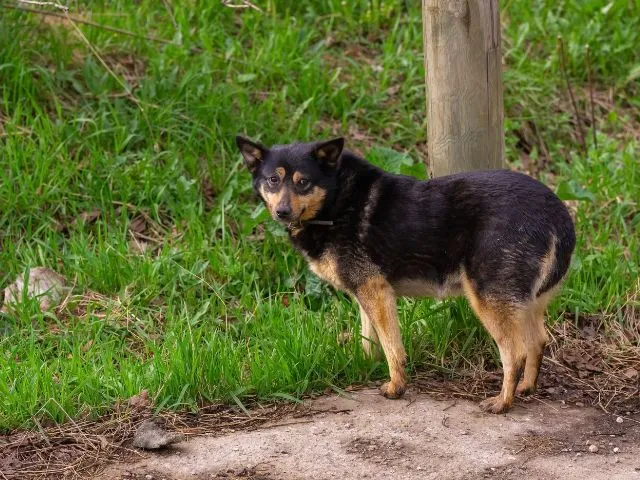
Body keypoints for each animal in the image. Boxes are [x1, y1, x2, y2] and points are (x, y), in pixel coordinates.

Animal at [235, 135, 576, 412]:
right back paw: (525, 387)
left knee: (515, 353)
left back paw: (503, 402)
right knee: (538, 341)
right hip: (526, 302)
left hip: (489, 299)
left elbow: (392, 347)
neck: (336, 201)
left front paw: (396, 387)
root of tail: (558, 215)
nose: (282, 212)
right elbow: (369, 339)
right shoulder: (366, 293)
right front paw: (366, 366)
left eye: (303, 182)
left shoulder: (375, 290)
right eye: (273, 180)